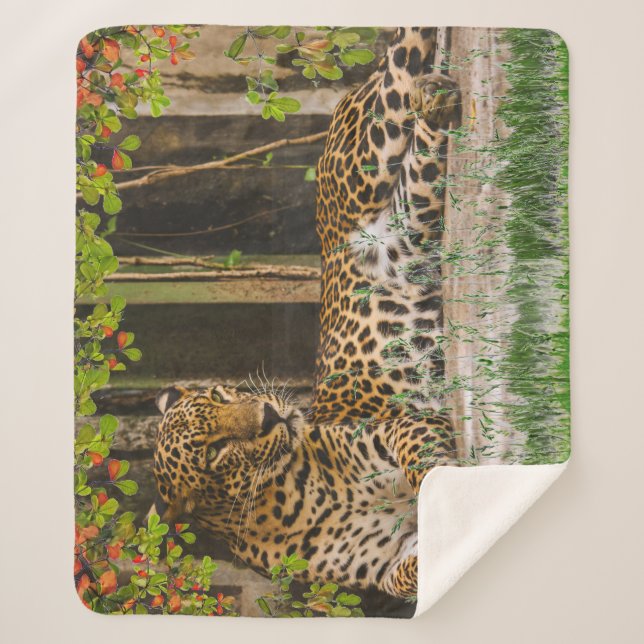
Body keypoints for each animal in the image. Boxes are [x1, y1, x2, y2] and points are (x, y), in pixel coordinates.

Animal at [153, 26, 461, 601]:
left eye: (222, 395)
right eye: (215, 450)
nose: (270, 415)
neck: (286, 496)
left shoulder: (387, 433)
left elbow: (420, 455)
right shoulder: (383, 562)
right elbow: (411, 573)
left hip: (368, 158)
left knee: (399, 66)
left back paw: (429, 92)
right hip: (410, 217)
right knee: (423, 158)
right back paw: (437, 101)